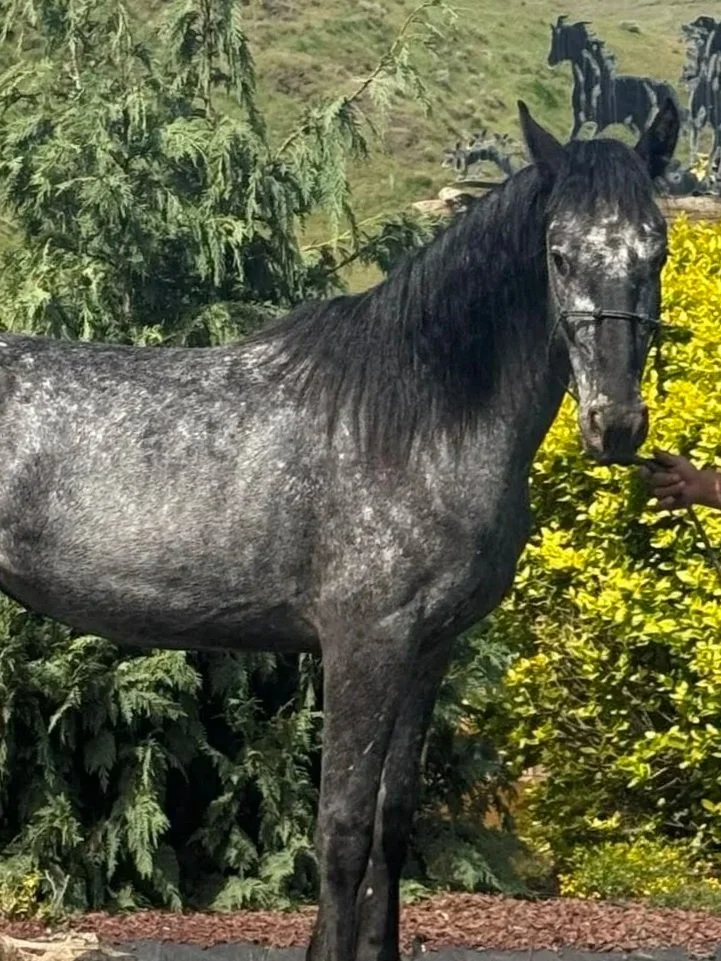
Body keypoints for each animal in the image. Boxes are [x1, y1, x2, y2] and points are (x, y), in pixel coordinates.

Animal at [0, 98, 679, 960]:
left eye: (655, 249)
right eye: (558, 255)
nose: (615, 425)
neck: (411, 421)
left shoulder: (427, 648)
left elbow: (391, 823)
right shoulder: (363, 643)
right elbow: (343, 830)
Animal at [548, 16, 680, 139]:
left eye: (563, 37)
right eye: (553, 35)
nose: (550, 60)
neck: (595, 82)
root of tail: (659, 88)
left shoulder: (602, 123)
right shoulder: (579, 118)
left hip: (643, 125)